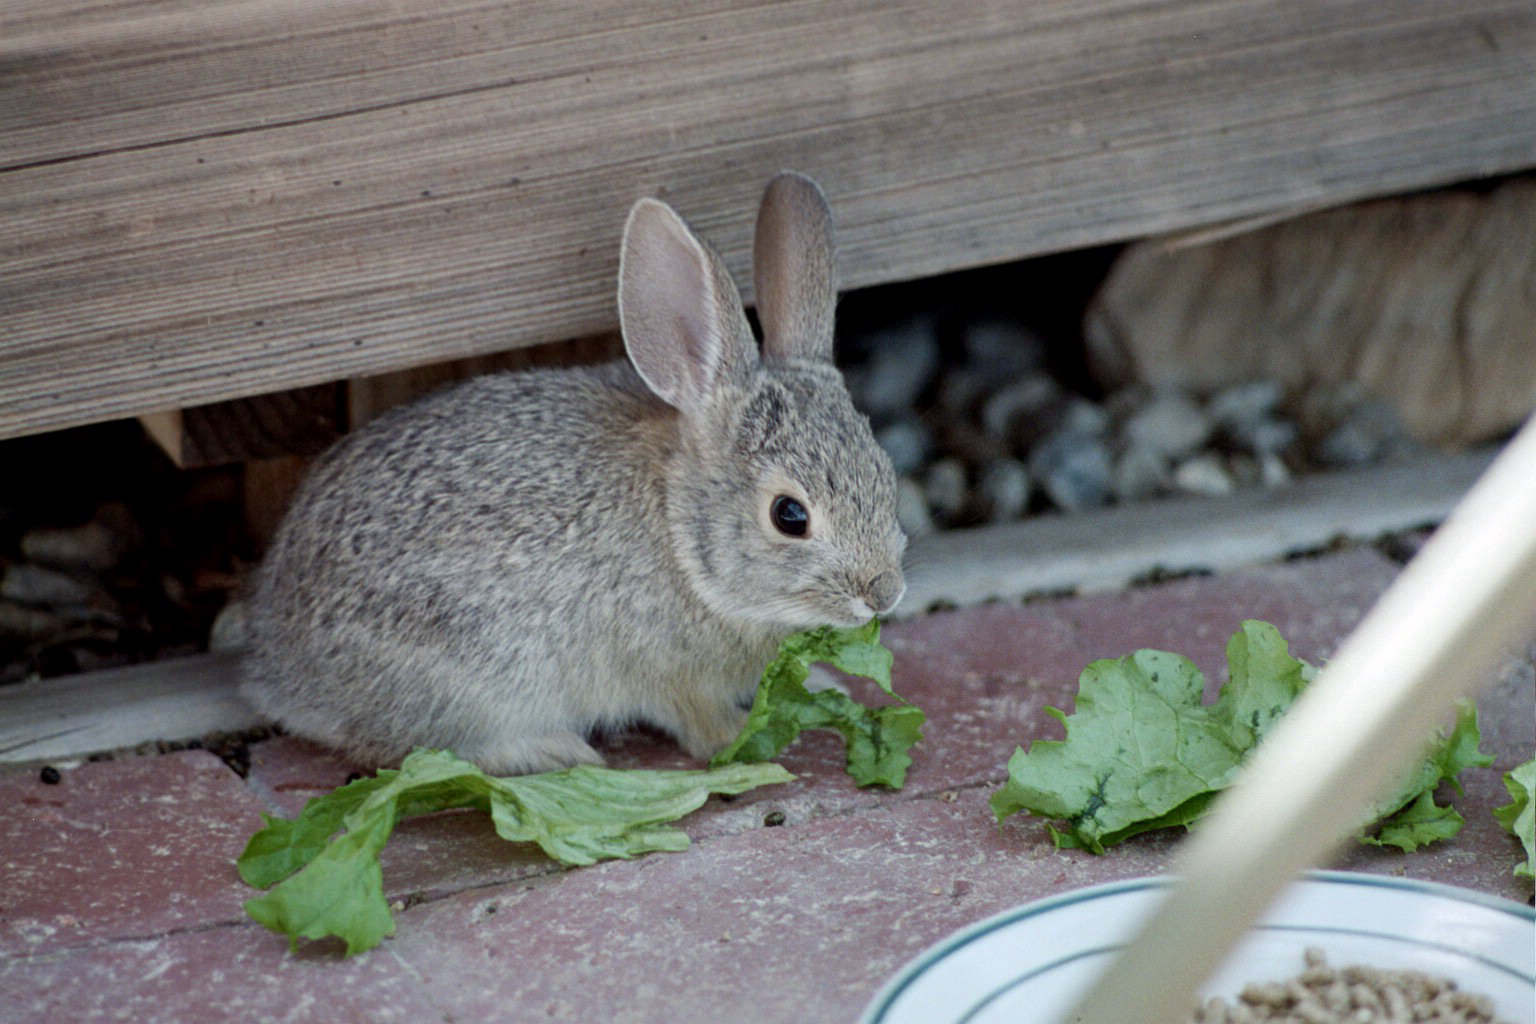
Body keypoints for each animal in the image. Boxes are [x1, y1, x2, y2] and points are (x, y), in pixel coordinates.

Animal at [241, 171, 909, 773]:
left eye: (885, 473)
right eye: (789, 516)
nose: (885, 593)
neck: (683, 536)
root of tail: (280, 670)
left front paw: (827, 688)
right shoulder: (669, 671)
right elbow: (700, 723)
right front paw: (748, 737)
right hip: (472, 675)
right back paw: (549, 750)